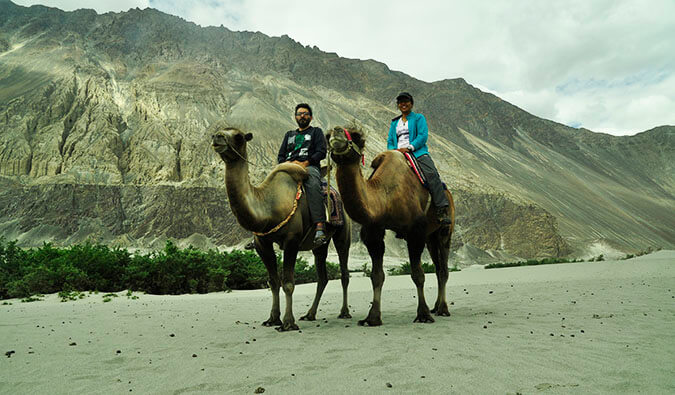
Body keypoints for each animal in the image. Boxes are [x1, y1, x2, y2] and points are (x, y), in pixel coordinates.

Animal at [213, 123, 354, 332]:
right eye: (217, 132)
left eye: (238, 136)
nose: (217, 137)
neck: (268, 205)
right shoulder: (262, 243)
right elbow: (273, 282)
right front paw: (272, 319)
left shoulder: (291, 240)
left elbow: (288, 282)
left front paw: (288, 322)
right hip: (318, 245)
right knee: (322, 276)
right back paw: (310, 314)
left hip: (343, 233)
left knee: (344, 272)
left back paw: (344, 312)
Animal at [326, 127, 454, 328]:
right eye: (327, 135)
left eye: (355, 136)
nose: (336, 132)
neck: (384, 197)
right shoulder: (374, 231)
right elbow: (377, 276)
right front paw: (372, 318)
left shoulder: (415, 231)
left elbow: (418, 274)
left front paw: (423, 315)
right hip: (430, 237)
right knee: (438, 266)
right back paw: (436, 307)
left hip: (445, 231)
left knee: (444, 268)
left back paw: (442, 309)